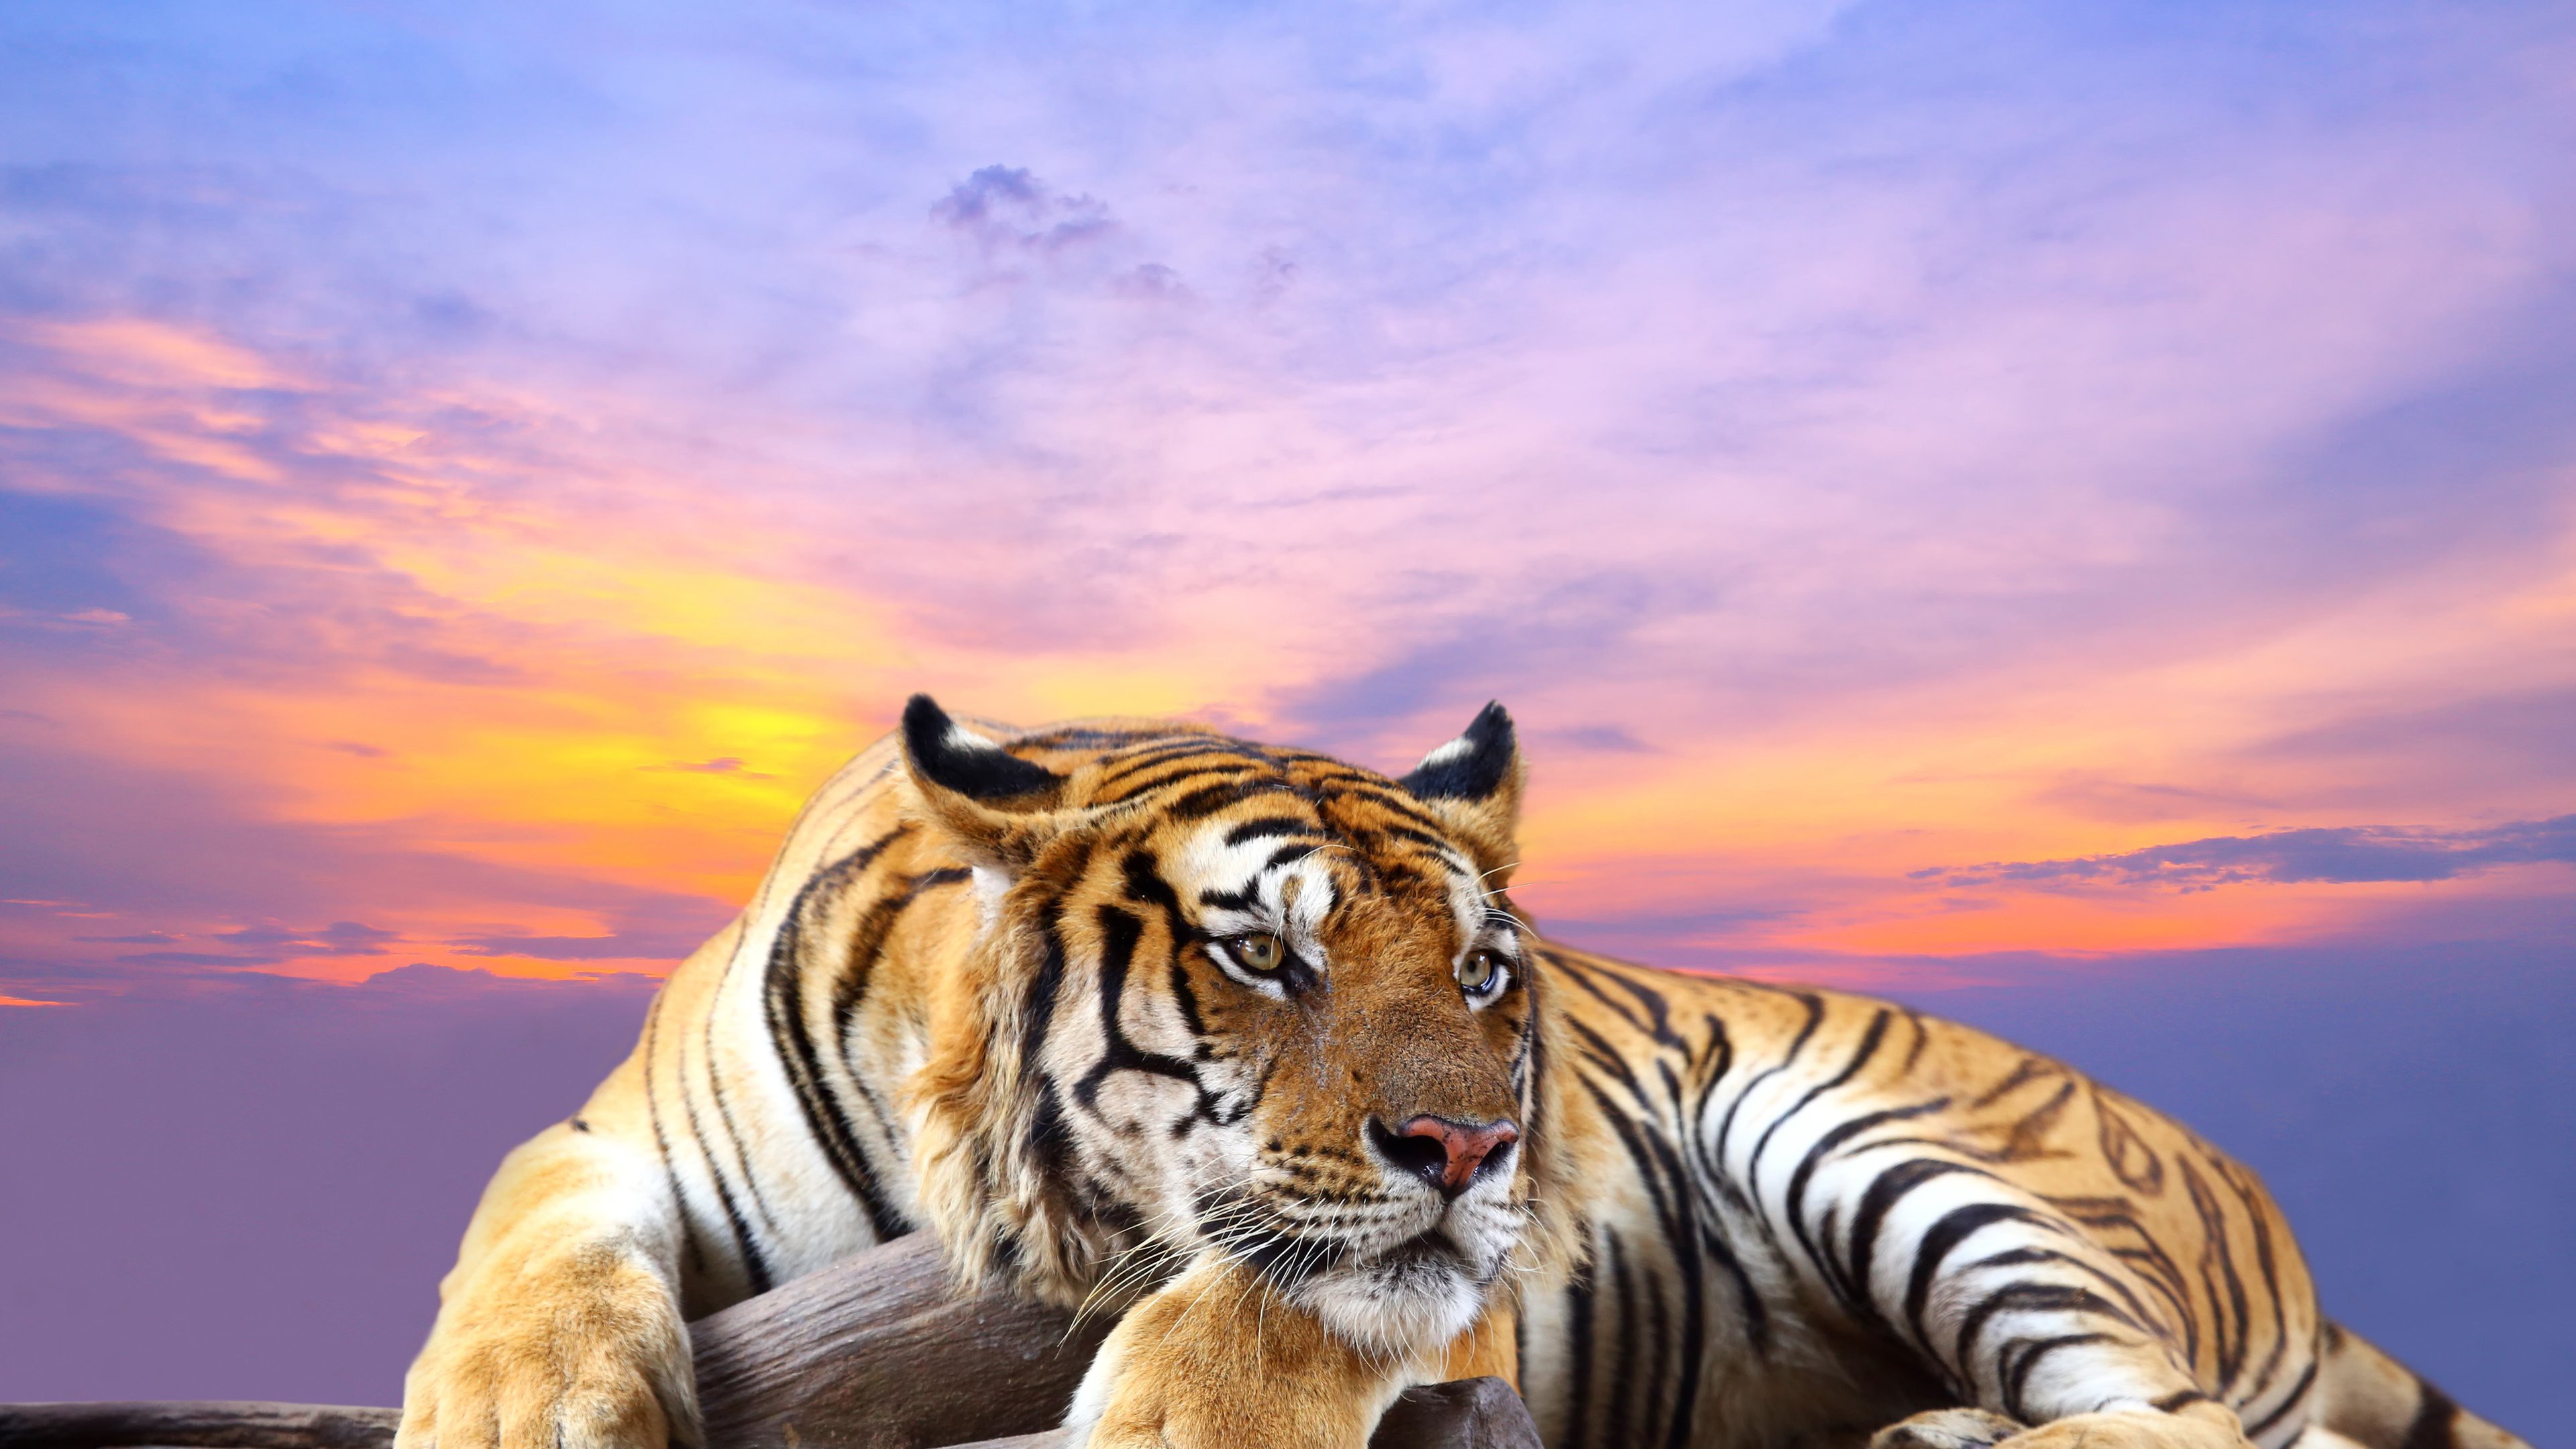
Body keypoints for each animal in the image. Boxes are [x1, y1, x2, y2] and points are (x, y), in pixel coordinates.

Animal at [396, 697, 2530, 1449]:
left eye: (1487, 969)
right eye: (1264, 951)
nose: (1483, 1142)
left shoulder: (1440, 1278)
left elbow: (1289, 1300)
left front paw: (1161, 1427)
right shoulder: (612, 1132)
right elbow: (527, 1236)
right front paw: (521, 1411)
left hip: (1891, 1144)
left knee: (2196, 1425)